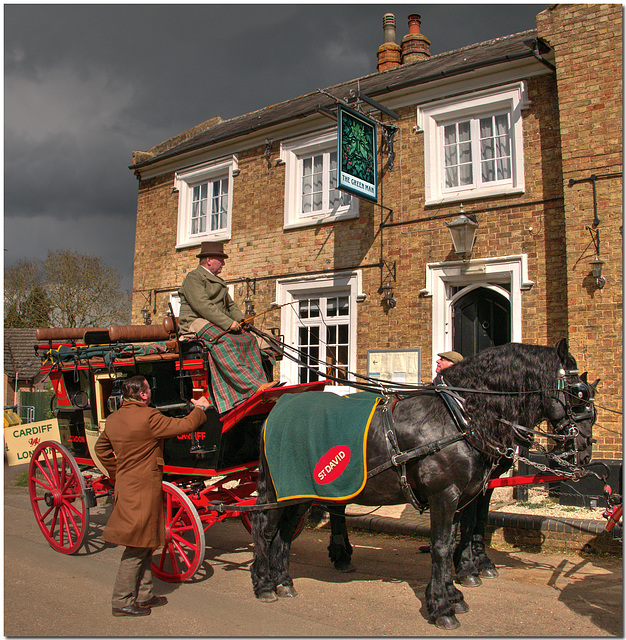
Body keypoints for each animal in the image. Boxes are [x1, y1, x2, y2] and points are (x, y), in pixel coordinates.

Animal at [249, 340, 596, 632]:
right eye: (577, 392)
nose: (583, 452)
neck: (459, 417)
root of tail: (277, 411)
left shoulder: (464, 495)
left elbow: (456, 537)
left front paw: (455, 592)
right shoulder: (445, 495)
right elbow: (442, 546)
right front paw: (443, 606)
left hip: (302, 491)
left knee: (285, 531)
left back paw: (284, 580)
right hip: (279, 489)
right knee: (265, 528)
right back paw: (265, 583)